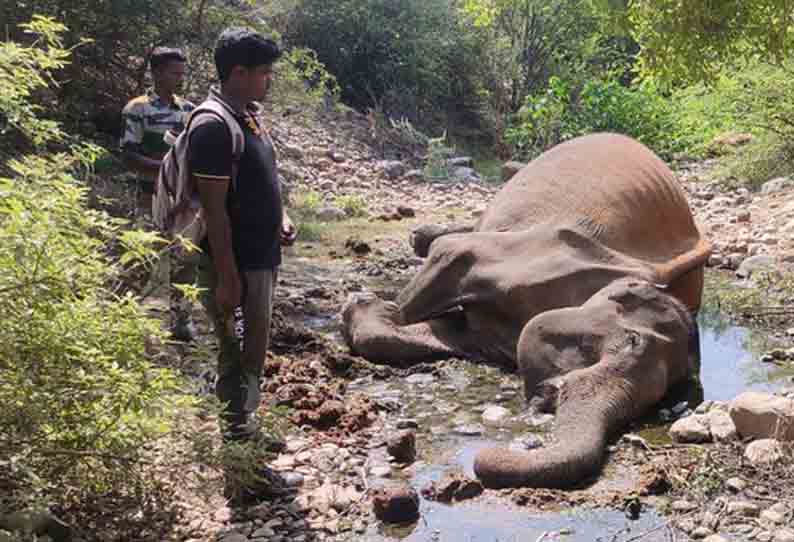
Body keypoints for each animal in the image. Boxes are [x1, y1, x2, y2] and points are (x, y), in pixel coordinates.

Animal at [338, 134, 704, 490]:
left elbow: (448, 334)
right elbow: (450, 255)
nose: (484, 457)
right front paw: (367, 304)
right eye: (631, 341)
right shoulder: (532, 250)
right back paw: (421, 237)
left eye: (657, 397)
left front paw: (368, 309)